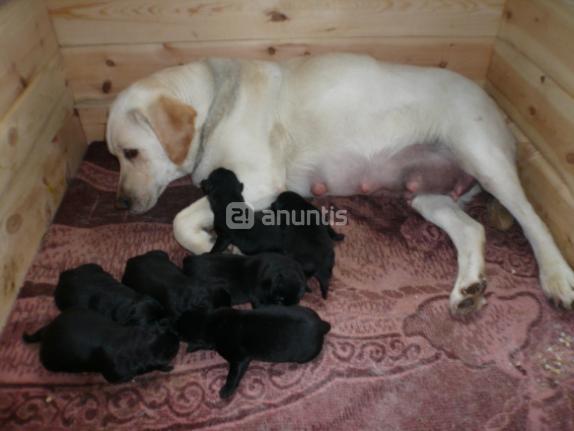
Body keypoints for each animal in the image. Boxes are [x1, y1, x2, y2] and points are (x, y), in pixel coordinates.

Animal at [106, 54, 572, 318]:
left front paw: (216, 247)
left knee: (533, 221)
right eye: (113, 156)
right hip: (426, 195)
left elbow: (181, 221)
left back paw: (556, 278)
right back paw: (468, 290)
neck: (215, 99)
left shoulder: (255, 180)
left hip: (484, 157)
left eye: (131, 153)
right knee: (472, 229)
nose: (122, 204)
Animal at [178, 306, 330, 400]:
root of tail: (321, 324)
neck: (210, 321)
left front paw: (226, 389)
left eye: (180, 333)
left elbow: (232, 375)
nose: (174, 325)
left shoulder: (239, 359)